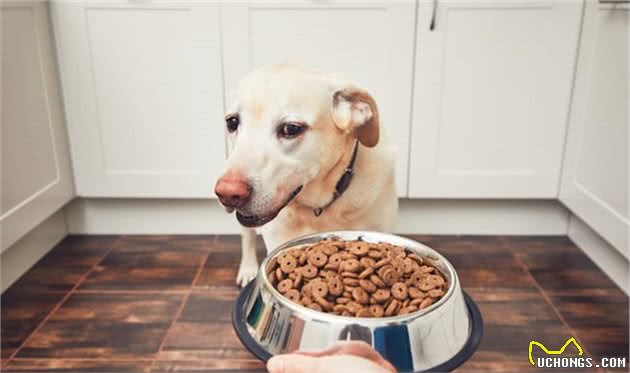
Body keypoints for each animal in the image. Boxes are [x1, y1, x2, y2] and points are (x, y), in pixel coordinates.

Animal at [215, 65, 398, 284]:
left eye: (291, 128)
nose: (227, 194)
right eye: (232, 122)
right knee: (247, 236)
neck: (319, 207)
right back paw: (248, 268)